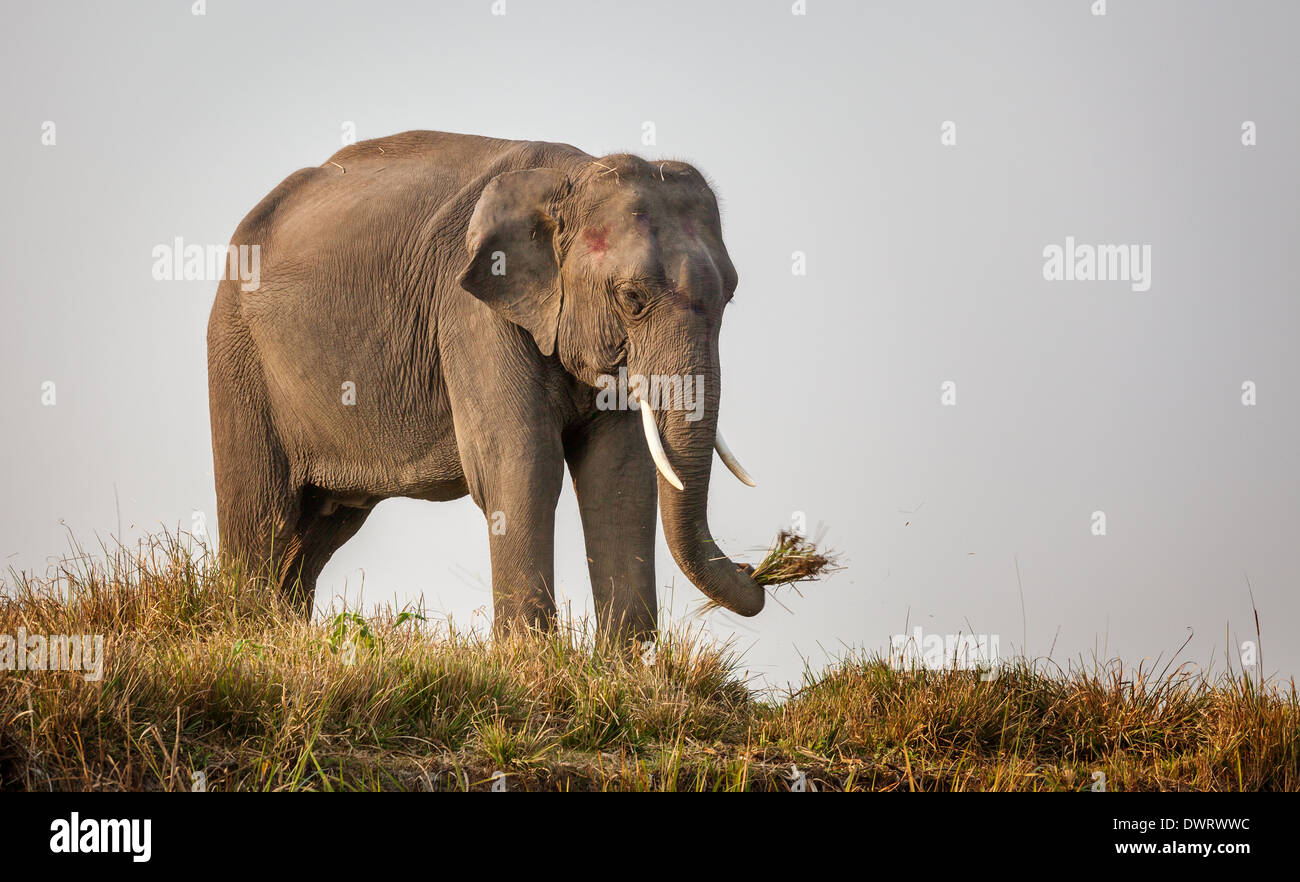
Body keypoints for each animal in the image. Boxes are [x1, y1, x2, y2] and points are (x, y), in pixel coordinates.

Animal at [205, 129, 759, 642]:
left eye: (730, 297)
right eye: (632, 297)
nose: (754, 570)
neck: (573, 177)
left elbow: (619, 471)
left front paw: (623, 665)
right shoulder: (473, 311)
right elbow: (520, 462)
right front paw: (528, 657)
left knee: (321, 528)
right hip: (237, 355)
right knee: (261, 516)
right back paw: (246, 629)